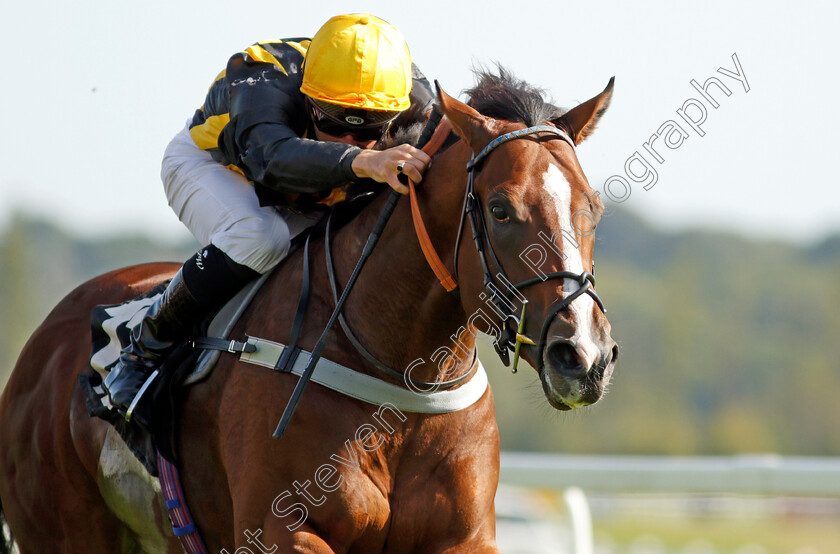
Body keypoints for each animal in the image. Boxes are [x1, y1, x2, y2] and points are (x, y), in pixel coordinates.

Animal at [0, 71, 616, 548]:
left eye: (593, 206)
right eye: (501, 209)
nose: (584, 357)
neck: (401, 383)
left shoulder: (462, 537)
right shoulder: (282, 532)